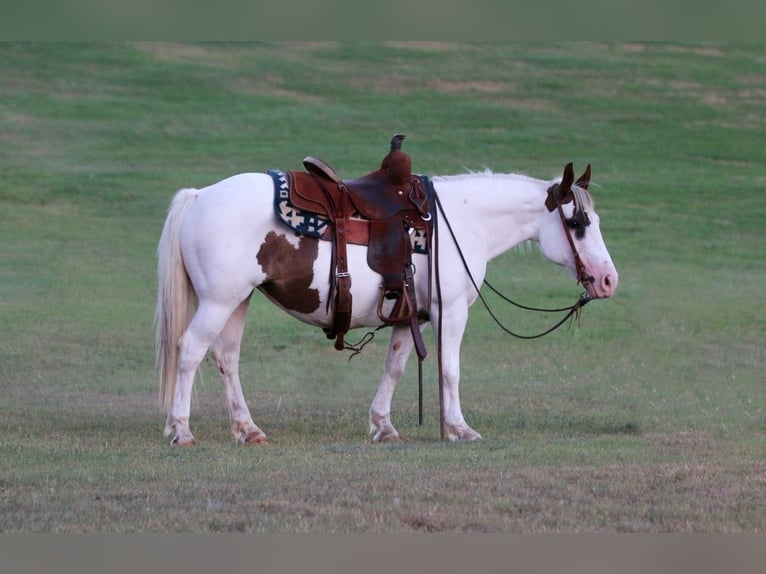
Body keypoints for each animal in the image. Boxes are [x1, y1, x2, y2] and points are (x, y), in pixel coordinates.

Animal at [155, 162, 618, 446]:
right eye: (578, 223)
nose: (608, 280)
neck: (462, 221)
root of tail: (200, 196)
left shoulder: (411, 314)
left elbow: (395, 366)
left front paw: (383, 426)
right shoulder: (451, 310)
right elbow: (450, 369)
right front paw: (459, 428)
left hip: (238, 300)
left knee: (226, 358)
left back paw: (247, 429)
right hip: (219, 300)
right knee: (191, 351)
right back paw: (181, 430)